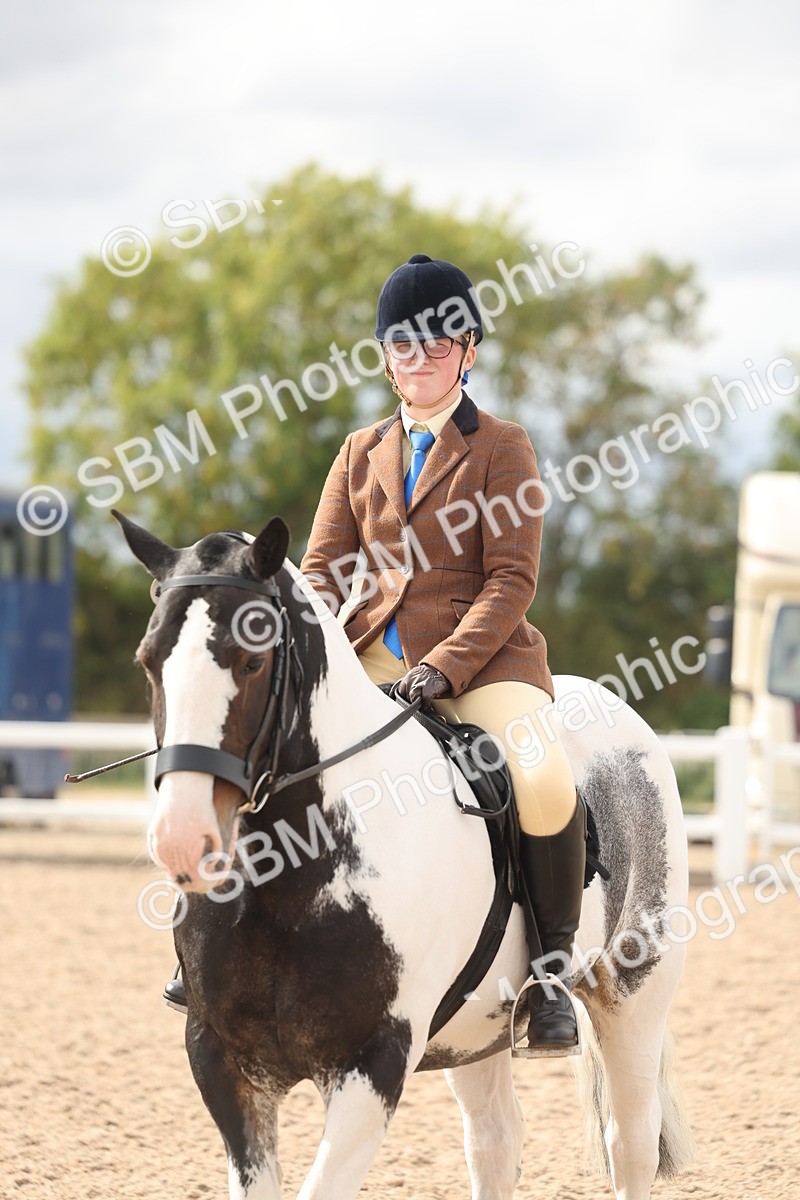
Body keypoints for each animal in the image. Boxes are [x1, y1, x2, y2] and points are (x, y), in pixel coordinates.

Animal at [115, 509, 694, 1200]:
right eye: (149, 661)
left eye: (252, 660)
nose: (182, 836)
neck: (289, 875)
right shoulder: (222, 1060)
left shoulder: (373, 1062)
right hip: (475, 1029)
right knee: (495, 1140)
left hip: (635, 995)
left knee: (628, 1141)